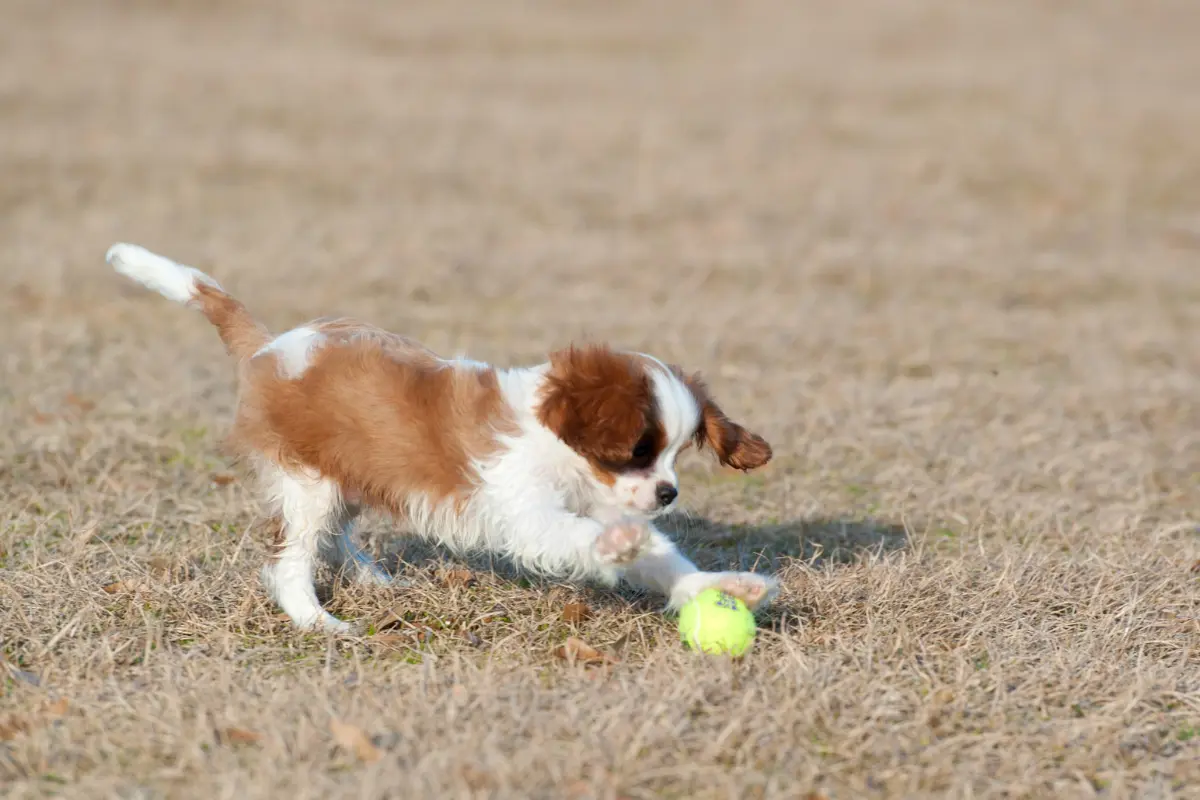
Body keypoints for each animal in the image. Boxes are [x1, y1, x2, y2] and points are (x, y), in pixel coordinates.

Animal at [105, 244, 777, 633]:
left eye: (676, 454)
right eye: (640, 450)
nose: (668, 494)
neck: (566, 455)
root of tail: (270, 346)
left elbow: (663, 557)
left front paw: (722, 587)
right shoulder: (528, 513)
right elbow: (591, 538)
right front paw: (620, 546)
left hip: (349, 474)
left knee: (337, 535)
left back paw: (372, 579)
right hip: (307, 482)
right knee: (292, 559)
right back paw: (317, 620)